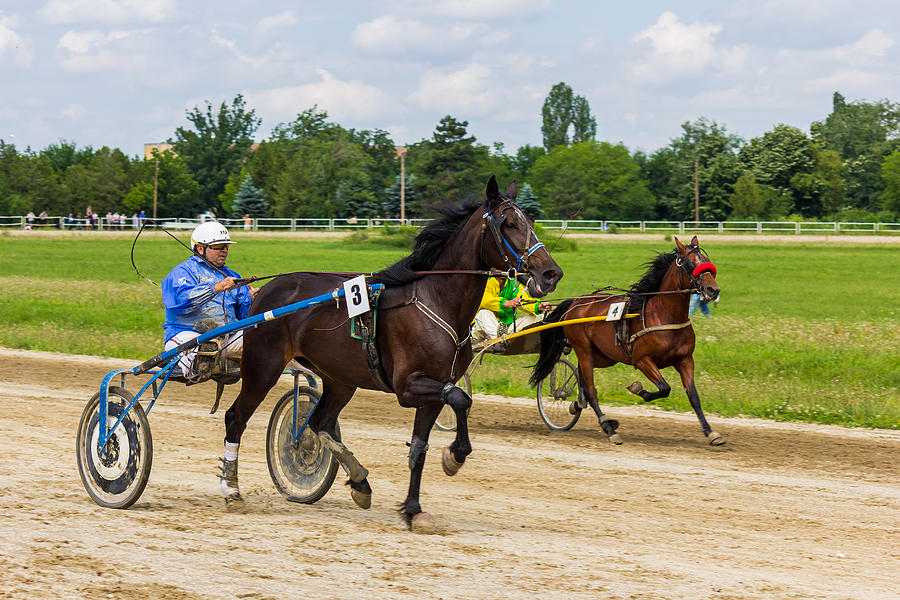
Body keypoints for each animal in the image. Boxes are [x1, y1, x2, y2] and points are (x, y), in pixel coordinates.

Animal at [223, 175, 564, 528]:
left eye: (531, 221)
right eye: (508, 223)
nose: (551, 273)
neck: (435, 300)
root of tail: (267, 291)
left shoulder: (435, 389)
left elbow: (420, 448)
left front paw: (413, 509)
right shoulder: (408, 386)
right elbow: (461, 399)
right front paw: (454, 456)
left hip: (340, 379)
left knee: (320, 423)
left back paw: (360, 481)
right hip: (263, 367)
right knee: (236, 418)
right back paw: (232, 490)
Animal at [528, 234, 724, 446]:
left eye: (707, 261)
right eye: (691, 263)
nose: (713, 290)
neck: (664, 315)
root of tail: (576, 303)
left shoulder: (685, 360)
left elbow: (693, 396)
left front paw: (711, 432)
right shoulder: (642, 360)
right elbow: (664, 388)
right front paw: (637, 389)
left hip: (604, 356)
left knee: (582, 379)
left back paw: (578, 405)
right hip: (584, 349)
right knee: (591, 390)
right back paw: (608, 428)